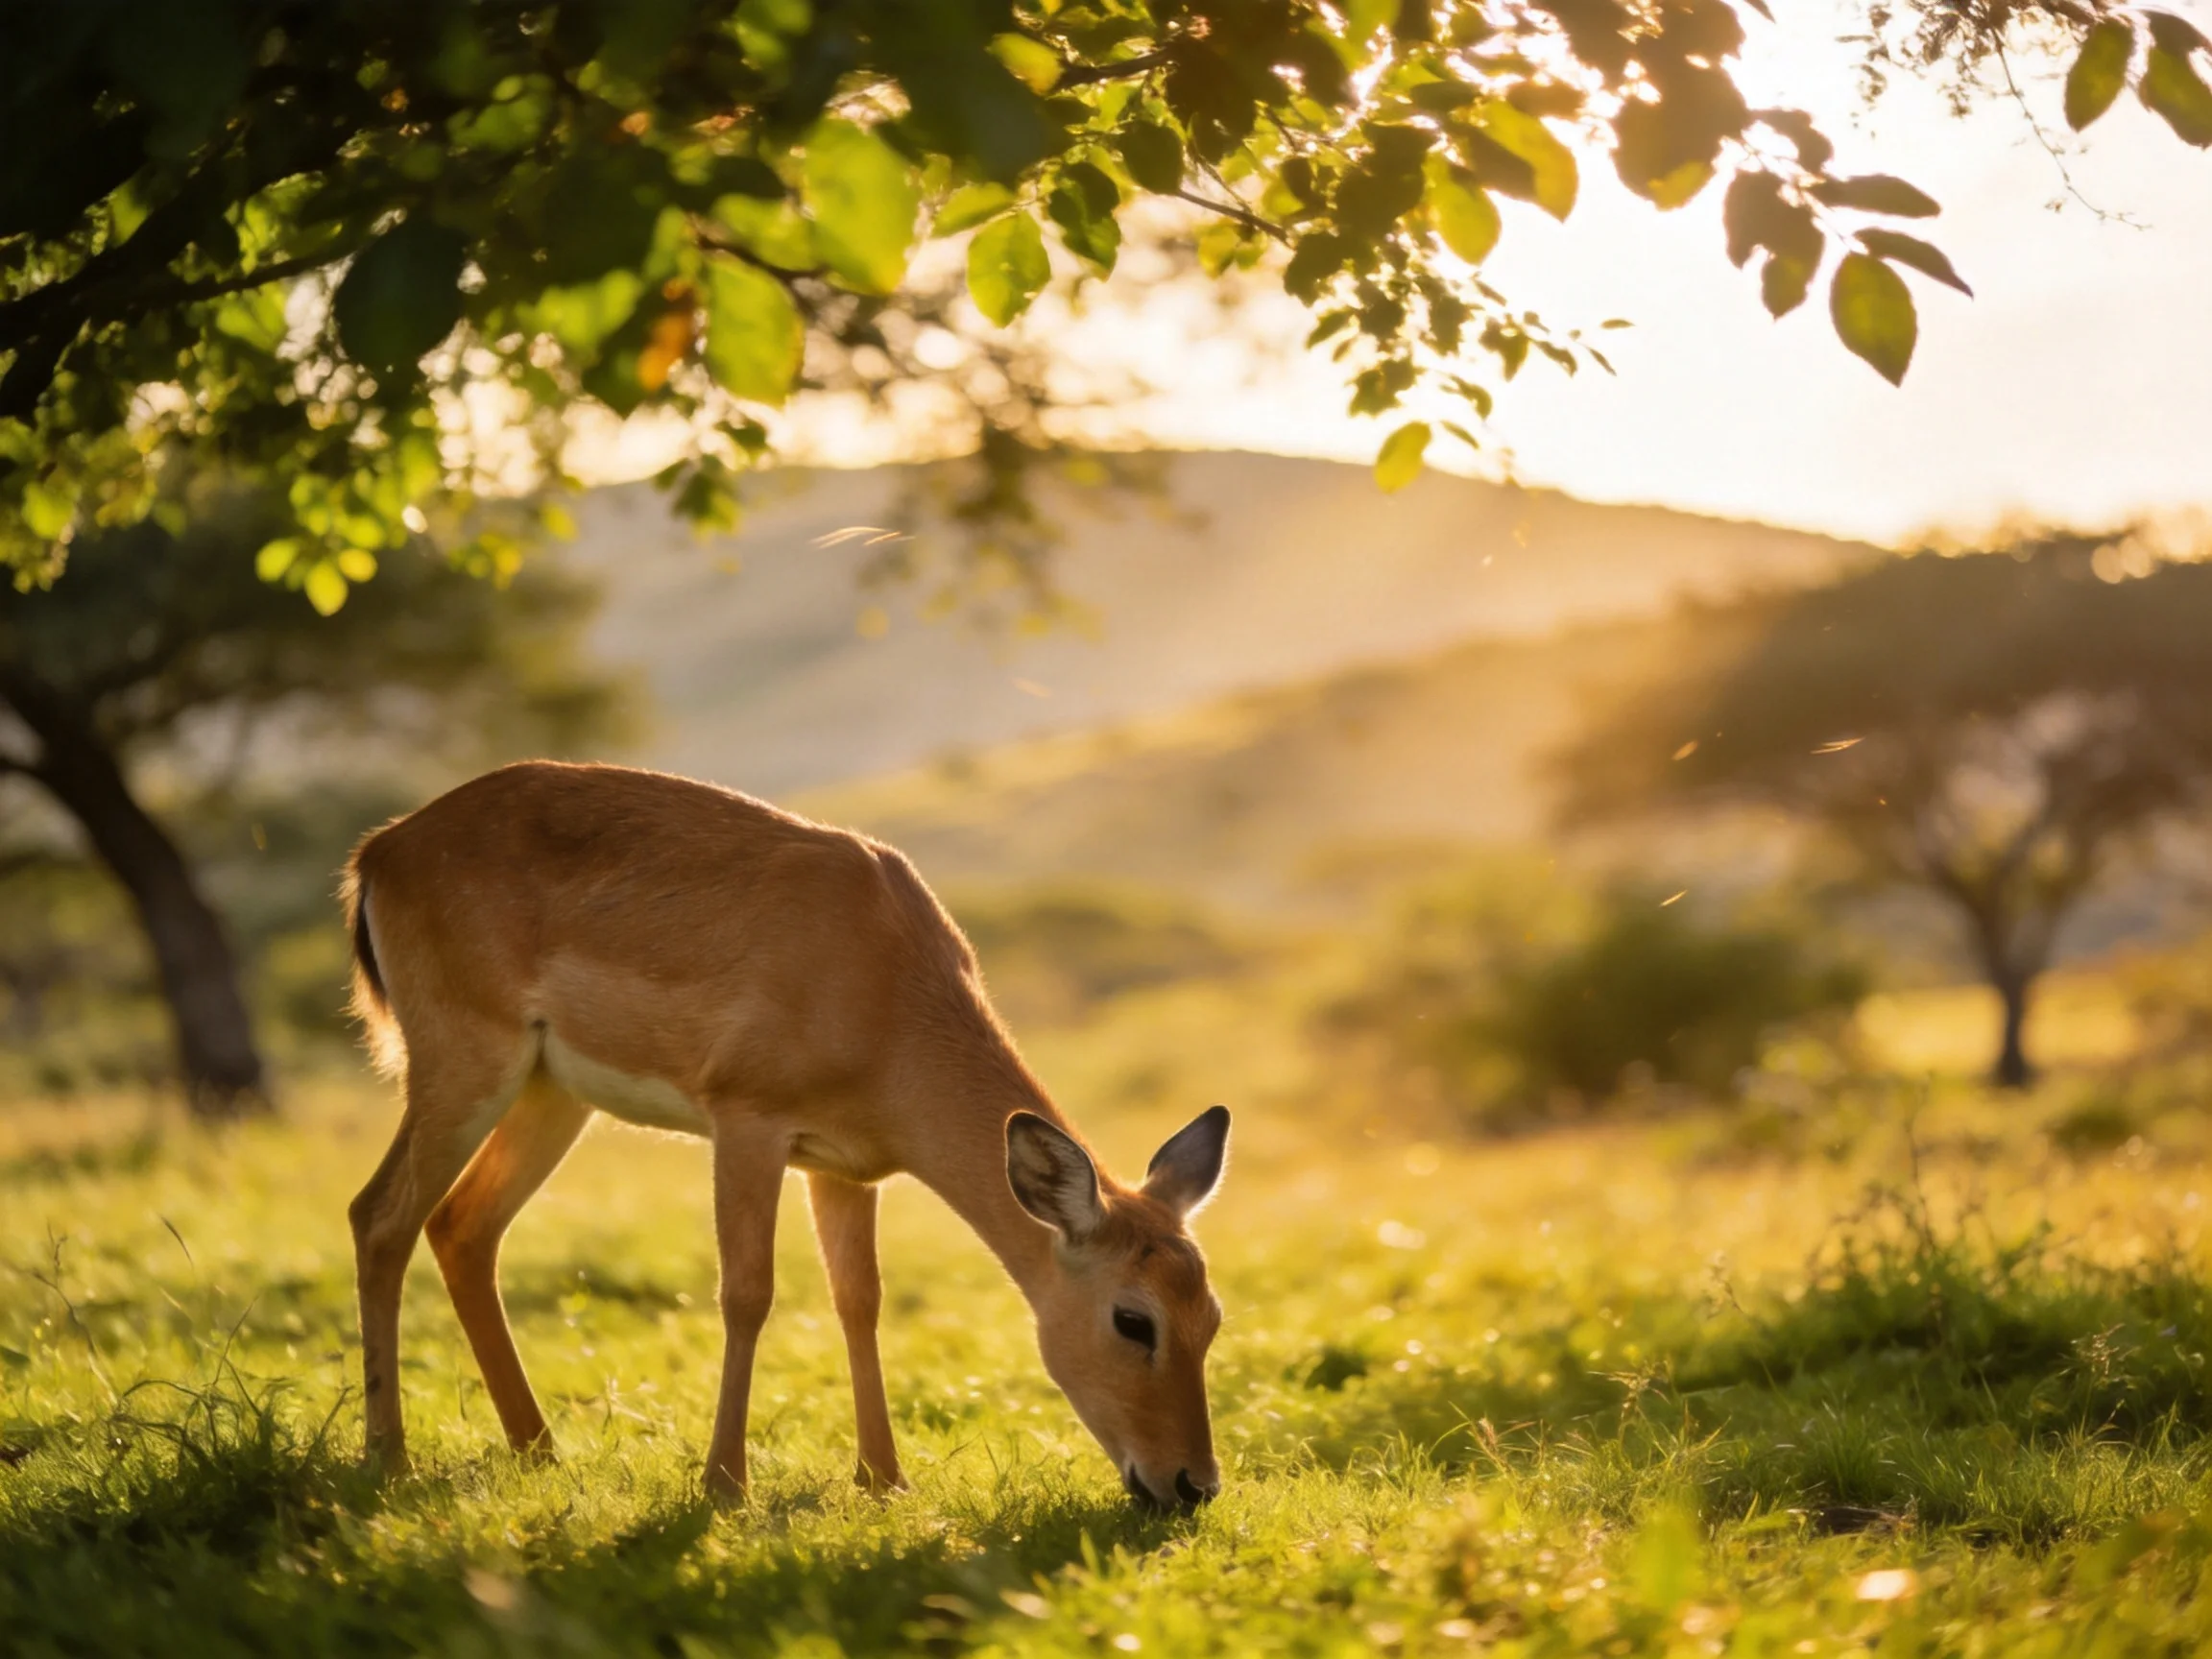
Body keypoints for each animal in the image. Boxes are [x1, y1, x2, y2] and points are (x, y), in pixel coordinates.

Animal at [341, 760, 1230, 1510]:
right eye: (1132, 1319)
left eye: (1211, 1315)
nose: (1192, 1485)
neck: (885, 988)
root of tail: (381, 850)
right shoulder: (747, 1125)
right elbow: (748, 1292)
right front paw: (723, 1485)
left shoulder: (846, 1169)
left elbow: (859, 1301)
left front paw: (884, 1480)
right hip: (465, 1066)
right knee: (379, 1215)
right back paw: (391, 1459)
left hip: (550, 1095)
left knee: (462, 1226)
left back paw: (539, 1450)